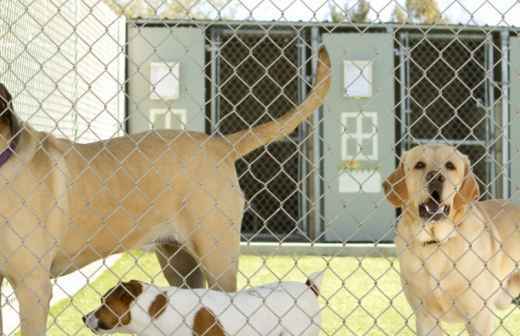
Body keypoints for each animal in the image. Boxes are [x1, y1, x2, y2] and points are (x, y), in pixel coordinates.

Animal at [382, 145, 520, 336]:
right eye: (419, 165)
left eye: (450, 166)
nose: (436, 177)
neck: (437, 243)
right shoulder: (426, 318)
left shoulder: (479, 317)